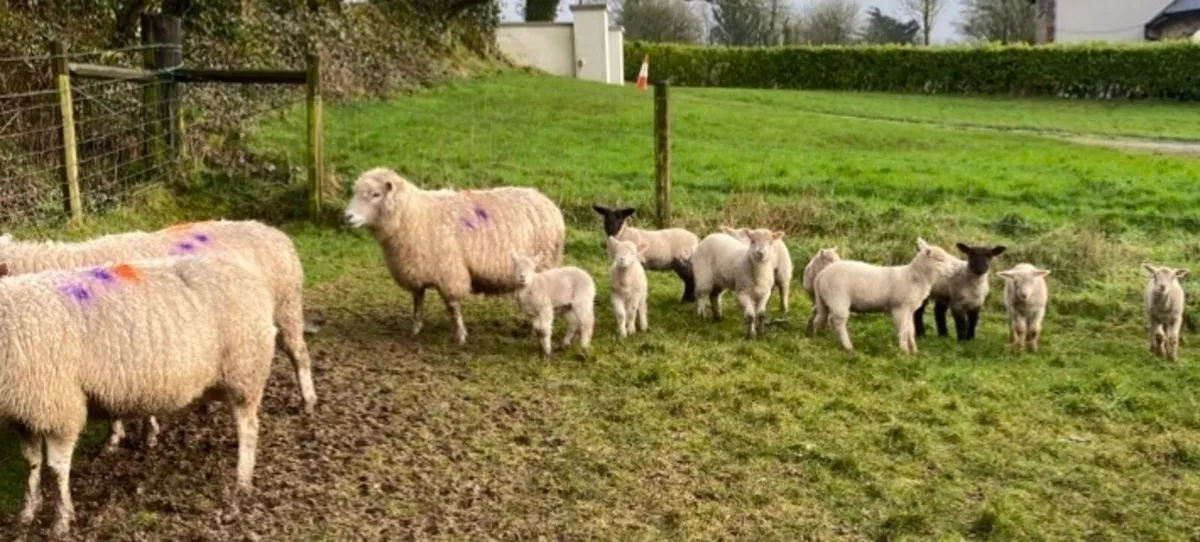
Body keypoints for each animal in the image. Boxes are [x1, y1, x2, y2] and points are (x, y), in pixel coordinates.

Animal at [0, 219, 316, 452]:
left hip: (286, 306)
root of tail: (273, 231)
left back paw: (308, 400)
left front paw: (147, 433)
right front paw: (116, 437)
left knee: (299, 354)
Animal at [0, 255, 278, 537]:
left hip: (245, 368)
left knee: (249, 428)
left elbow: (57, 469)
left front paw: (61, 520)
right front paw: (28, 512)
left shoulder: (59, 408)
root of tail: (246, 271)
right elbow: (32, 463)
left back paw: (242, 483)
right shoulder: (24, 415)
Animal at [346, 167, 566, 345]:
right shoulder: (415, 269)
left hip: (542, 266)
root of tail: (548, 203)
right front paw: (416, 329)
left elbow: (453, 307)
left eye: (376, 194)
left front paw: (460, 335)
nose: (347, 216)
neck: (414, 215)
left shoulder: (449, 271)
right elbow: (417, 301)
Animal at [807, 238, 956, 355]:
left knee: (820, 317)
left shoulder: (909, 309)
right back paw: (847, 346)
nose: (953, 270)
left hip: (824, 300)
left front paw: (914, 351)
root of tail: (821, 275)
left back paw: (817, 337)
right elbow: (903, 329)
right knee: (838, 321)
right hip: (838, 298)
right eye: (939, 260)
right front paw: (904, 352)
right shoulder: (900, 307)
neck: (915, 277)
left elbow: (910, 330)